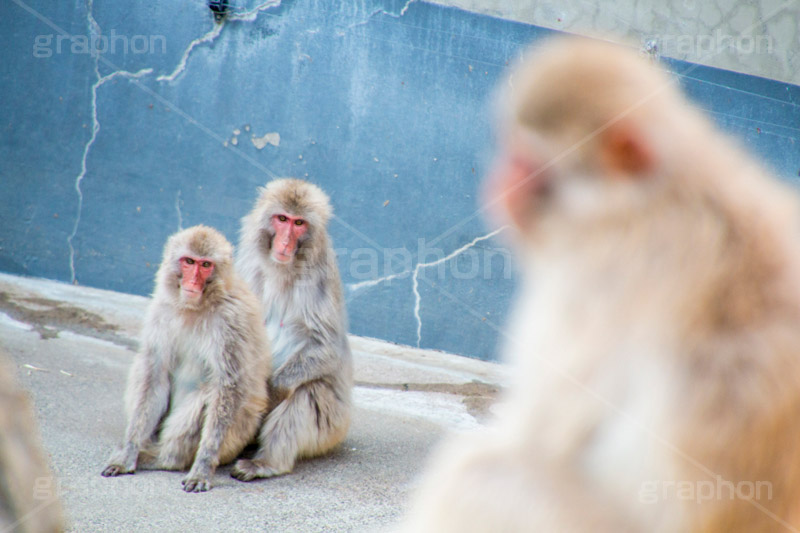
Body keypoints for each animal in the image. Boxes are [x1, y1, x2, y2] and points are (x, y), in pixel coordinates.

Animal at [99, 223, 268, 490]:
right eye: (189, 261)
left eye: (206, 265)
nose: (193, 280)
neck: (195, 306)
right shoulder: (161, 311)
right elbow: (155, 375)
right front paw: (128, 452)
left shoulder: (232, 321)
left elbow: (228, 386)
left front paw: (202, 467)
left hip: (235, 439)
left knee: (210, 396)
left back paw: (165, 459)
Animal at [230, 180, 352, 482]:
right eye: (282, 219)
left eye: (299, 223)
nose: (285, 242)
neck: (282, 269)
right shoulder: (246, 269)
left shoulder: (318, 279)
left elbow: (328, 347)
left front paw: (272, 393)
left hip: (332, 428)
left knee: (307, 391)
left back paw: (267, 462)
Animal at [404, 35, 800, 528]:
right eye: (511, 151)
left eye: (528, 161)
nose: (501, 180)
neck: (652, 192)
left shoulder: (594, 271)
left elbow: (544, 432)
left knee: (479, 475)